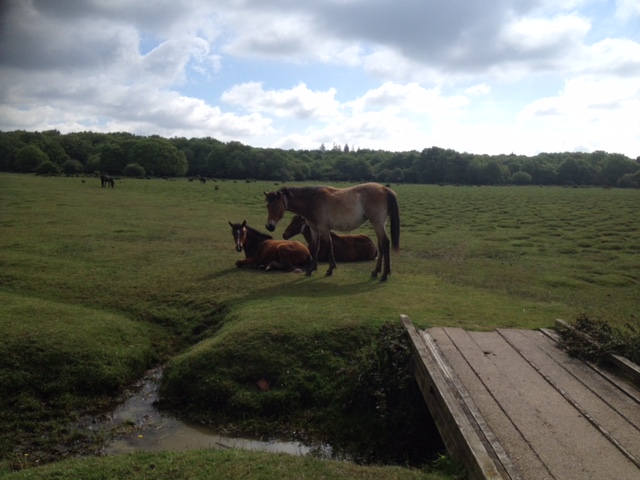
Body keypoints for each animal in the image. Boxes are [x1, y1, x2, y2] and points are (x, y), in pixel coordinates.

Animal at [264, 184, 400, 282]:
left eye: (277, 206)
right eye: (268, 206)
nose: (269, 226)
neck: (312, 201)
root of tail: (384, 188)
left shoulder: (324, 228)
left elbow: (329, 245)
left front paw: (330, 269)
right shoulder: (314, 229)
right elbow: (315, 247)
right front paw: (311, 269)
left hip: (377, 223)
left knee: (385, 243)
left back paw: (385, 274)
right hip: (378, 225)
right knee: (381, 245)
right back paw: (376, 272)